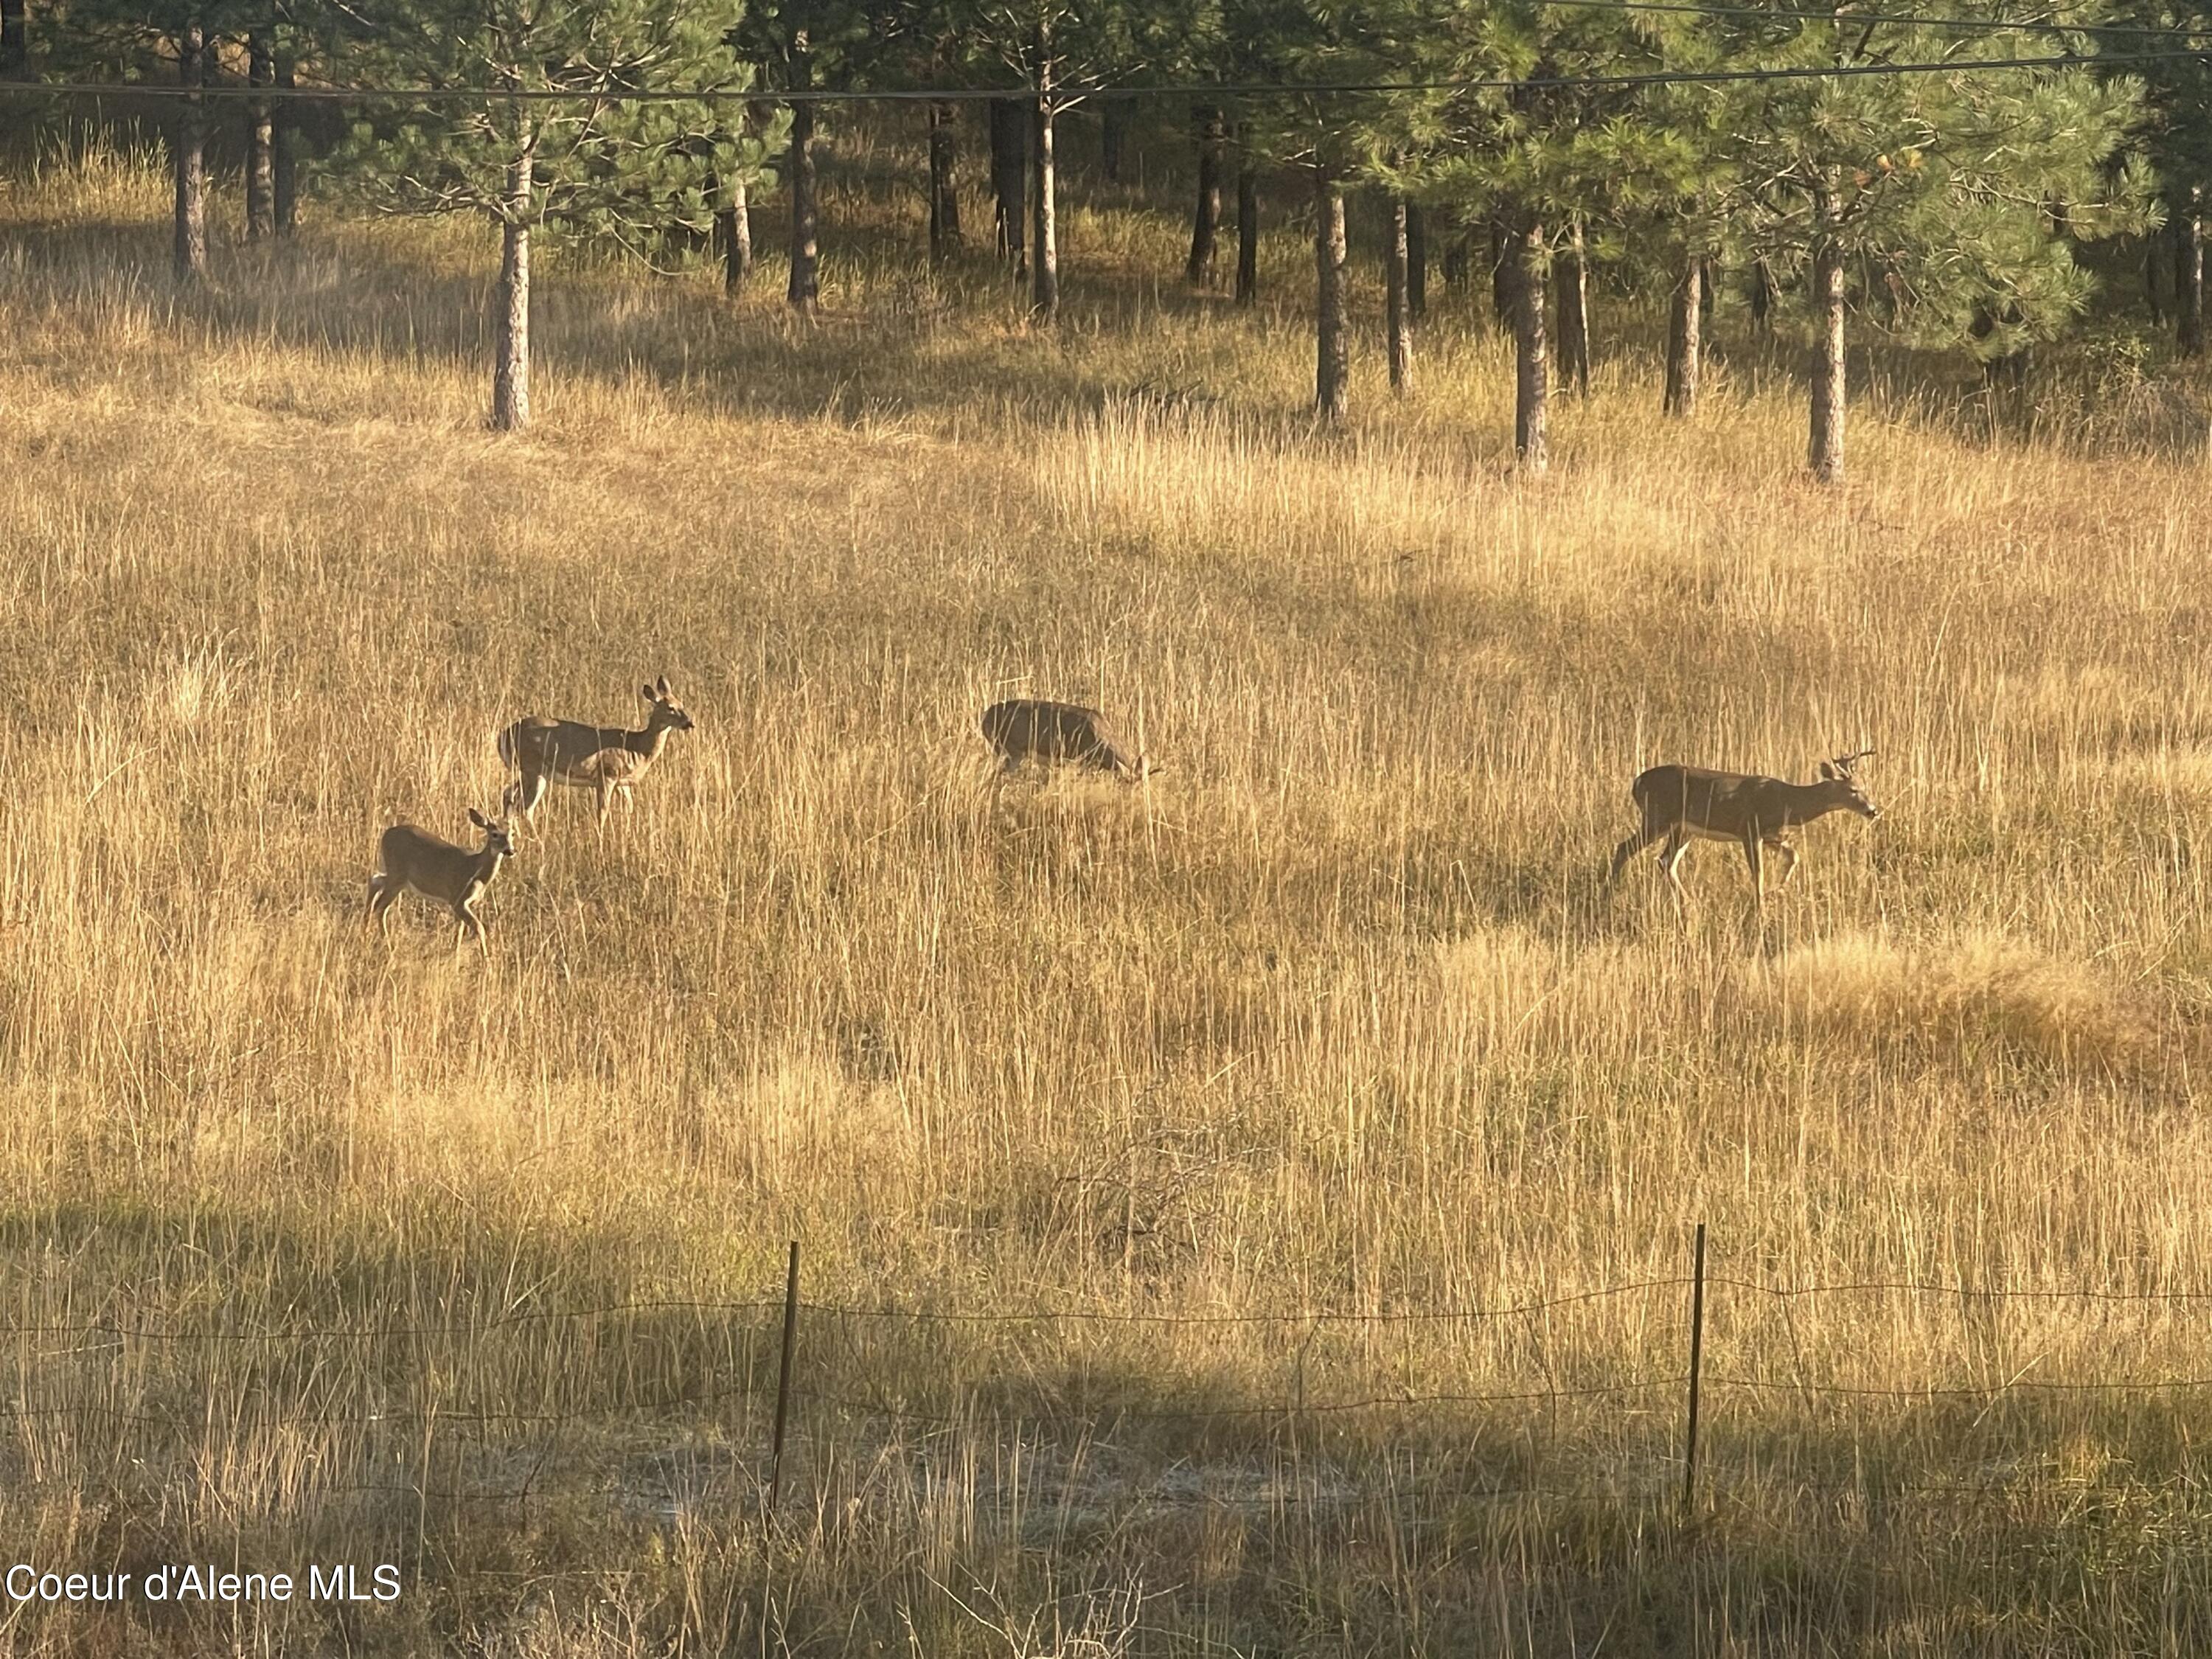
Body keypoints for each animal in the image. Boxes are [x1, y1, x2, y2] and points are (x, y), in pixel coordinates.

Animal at [365, 808, 516, 955]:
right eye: (495, 834)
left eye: (512, 833)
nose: (510, 851)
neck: (476, 870)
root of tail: (386, 834)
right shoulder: (458, 899)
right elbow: (479, 928)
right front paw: (486, 959)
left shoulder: (464, 904)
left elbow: (459, 932)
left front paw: (455, 955)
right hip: (397, 876)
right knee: (381, 907)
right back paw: (387, 945)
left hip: (396, 875)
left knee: (375, 880)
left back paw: (367, 928)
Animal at [498, 676, 696, 828]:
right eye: (671, 708)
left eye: (682, 704)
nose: (690, 723)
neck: (637, 748)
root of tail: (503, 736)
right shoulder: (606, 775)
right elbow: (602, 812)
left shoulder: (622, 783)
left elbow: (629, 807)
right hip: (534, 769)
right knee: (525, 807)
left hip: (526, 771)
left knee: (509, 795)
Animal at [1608, 749, 1880, 909]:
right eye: (1853, 790)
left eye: (1865, 786)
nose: (1873, 810)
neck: (1789, 802)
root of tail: (1637, 783)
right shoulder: (1749, 830)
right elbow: (1758, 872)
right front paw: (1761, 905)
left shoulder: (1773, 837)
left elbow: (1794, 857)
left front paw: (1774, 892)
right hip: (1658, 817)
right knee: (1624, 848)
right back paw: (1610, 892)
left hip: (1683, 829)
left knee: (1666, 861)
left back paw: (1689, 902)